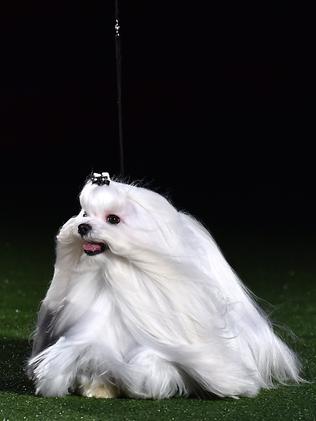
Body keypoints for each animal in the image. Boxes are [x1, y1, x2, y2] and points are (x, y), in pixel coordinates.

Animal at [27, 171, 302, 398]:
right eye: (84, 213)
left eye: (113, 219)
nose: (83, 227)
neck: (119, 279)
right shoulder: (93, 333)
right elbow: (92, 353)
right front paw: (99, 388)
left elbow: (151, 361)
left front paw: (143, 383)